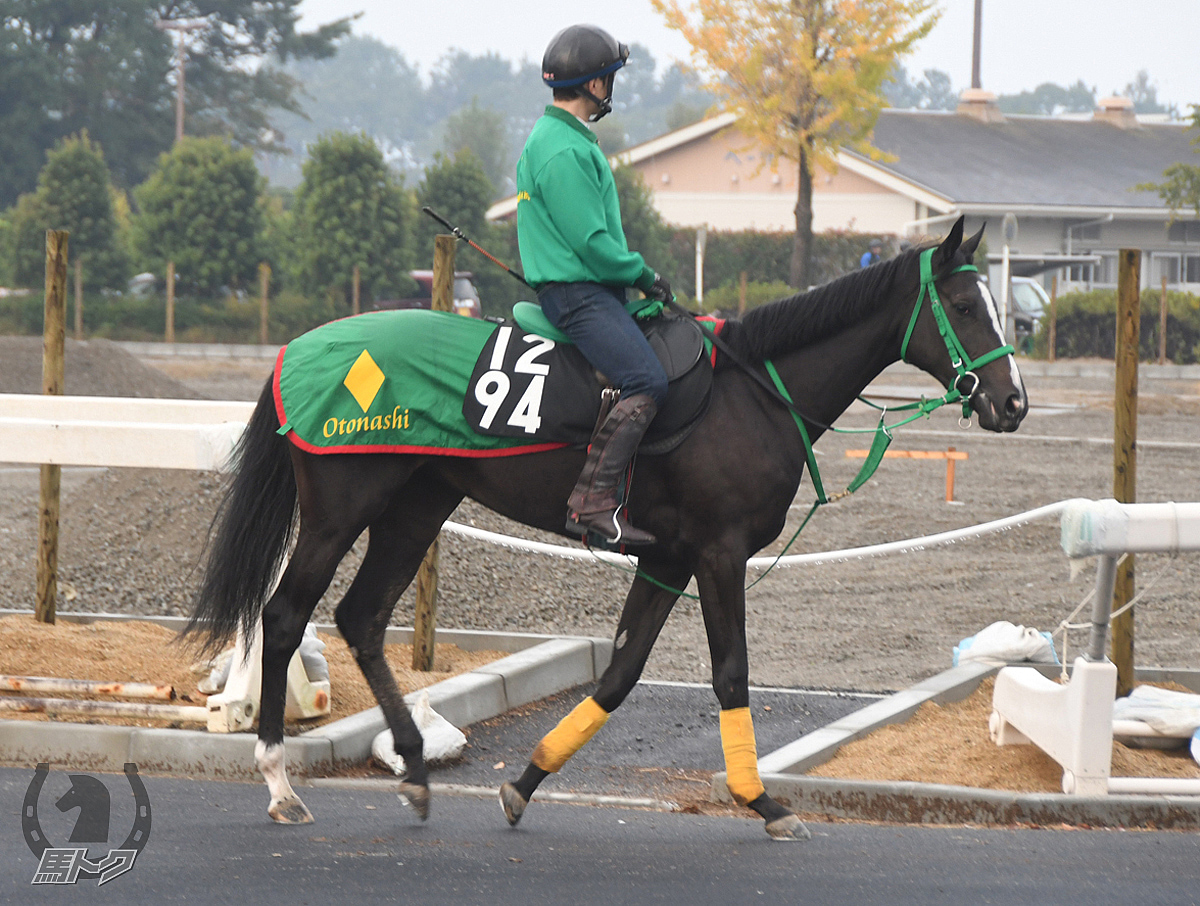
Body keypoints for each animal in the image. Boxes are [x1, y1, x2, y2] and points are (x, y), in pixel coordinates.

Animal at [189, 219, 1032, 844]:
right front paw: (762, 801)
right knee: (284, 616)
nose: (1013, 402)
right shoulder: (718, 554)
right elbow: (731, 673)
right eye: (964, 307)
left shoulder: (668, 562)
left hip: (416, 508)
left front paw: (525, 781)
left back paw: (418, 773)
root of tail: (300, 348)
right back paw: (280, 782)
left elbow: (619, 675)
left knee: (361, 617)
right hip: (340, 511)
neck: (751, 391)